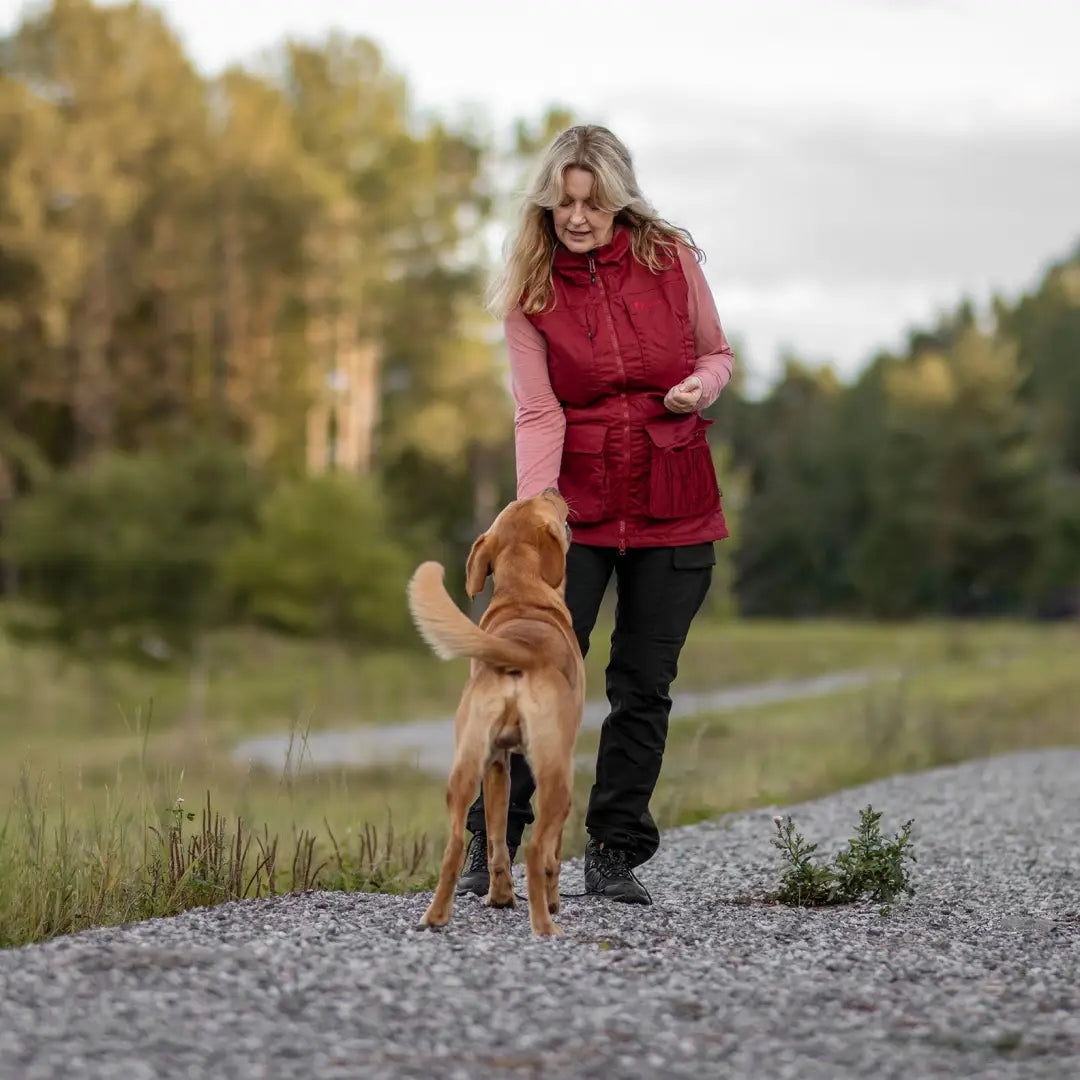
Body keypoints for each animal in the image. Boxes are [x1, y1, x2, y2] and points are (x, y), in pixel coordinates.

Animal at [408, 490, 587, 937]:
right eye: (547, 503)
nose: (553, 489)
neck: (523, 595)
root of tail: (519, 651)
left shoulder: (498, 765)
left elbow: (497, 842)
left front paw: (500, 897)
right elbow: (552, 854)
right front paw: (551, 902)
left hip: (466, 767)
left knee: (457, 844)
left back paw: (437, 916)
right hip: (558, 778)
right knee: (540, 848)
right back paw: (545, 924)